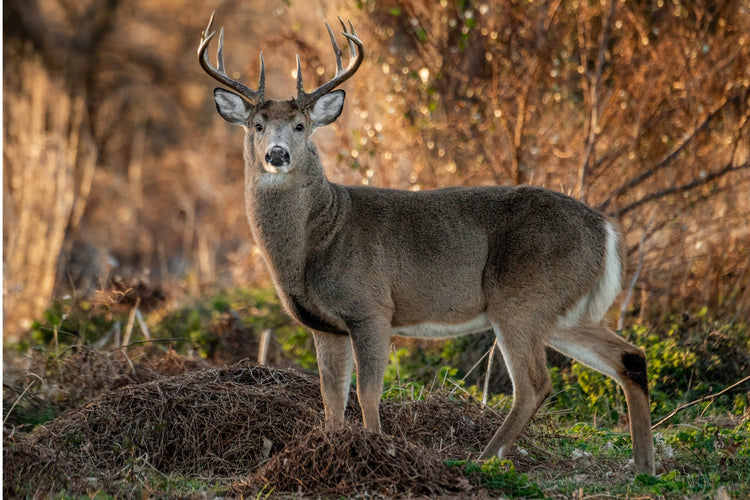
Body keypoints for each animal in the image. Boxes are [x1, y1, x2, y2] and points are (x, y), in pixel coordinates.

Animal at [197, 13, 655, 475]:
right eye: (257, 125)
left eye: (300, 126)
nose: (277, 154)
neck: (318, 239)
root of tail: (605, 228)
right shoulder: (324, 325)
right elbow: (331, 398)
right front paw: (328, 448)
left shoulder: (371, 307)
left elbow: (366, 393)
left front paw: (375, 450)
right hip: (563, 309)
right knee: (630, 358)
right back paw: (644, 467)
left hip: (522, 298)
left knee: (534, 384)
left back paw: (482, 460)